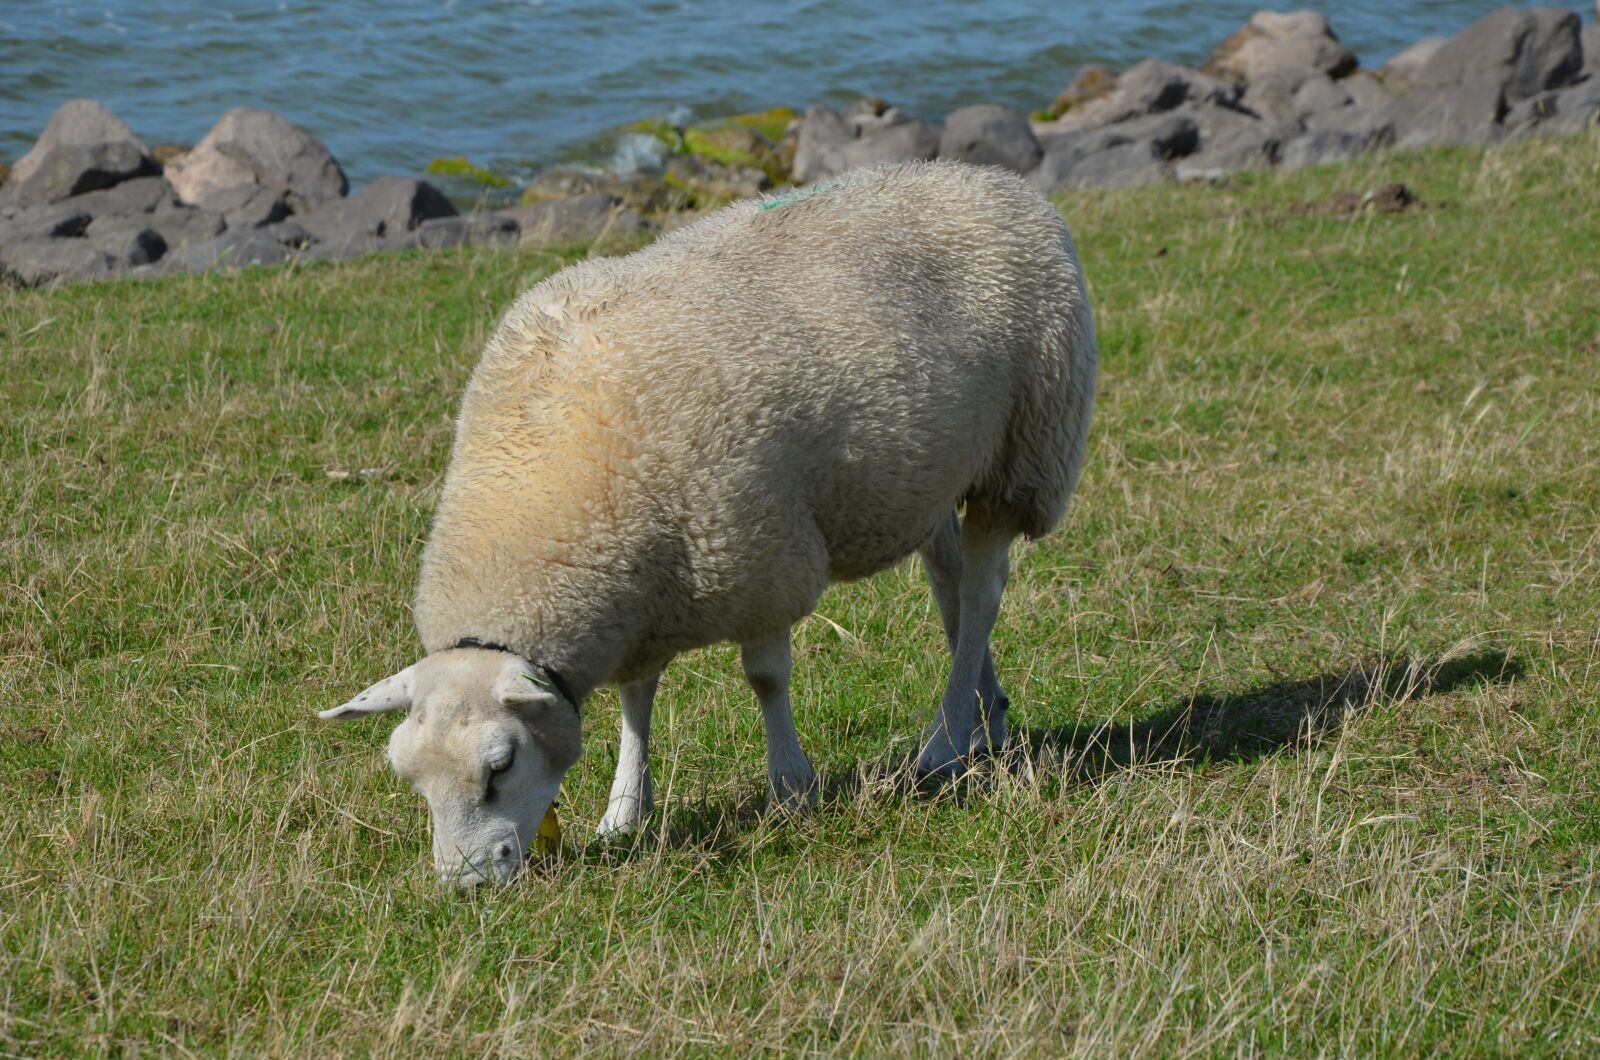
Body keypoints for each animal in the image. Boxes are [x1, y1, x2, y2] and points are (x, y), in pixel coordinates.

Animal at [319, 160, 1097, 885]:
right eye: (409, 778)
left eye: (500, 765)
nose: (468, 884)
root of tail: (992, 179)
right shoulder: (641, 591)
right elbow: (636, 701)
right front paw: (624, 810)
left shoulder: (762, 554)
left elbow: (766, 680)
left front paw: (791, 788)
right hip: (931, 471)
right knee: (949, 583)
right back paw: (985, 717)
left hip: (1026, 449)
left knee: (982, 593)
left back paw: (946, 740)